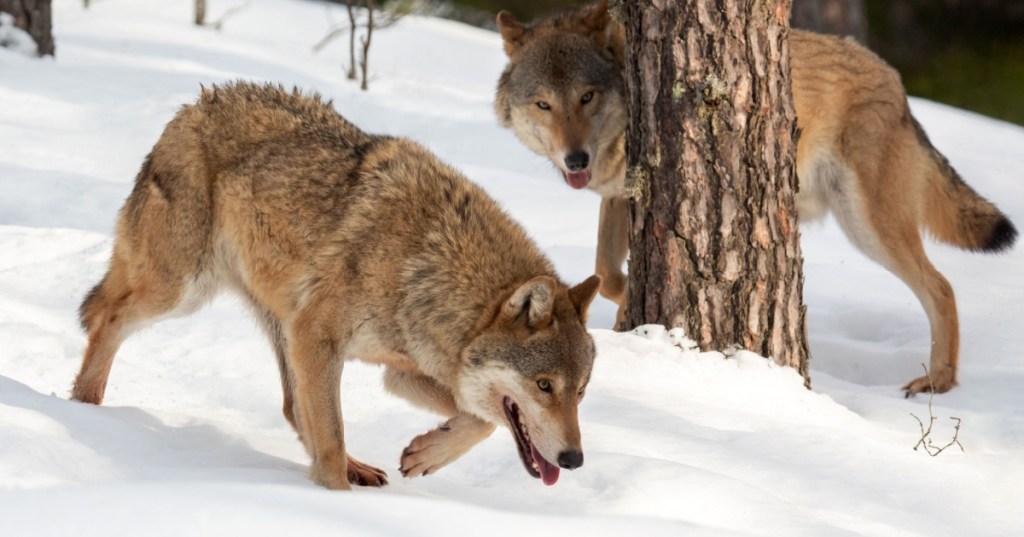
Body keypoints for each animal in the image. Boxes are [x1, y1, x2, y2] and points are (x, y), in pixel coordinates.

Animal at [71, 82, 601, 489]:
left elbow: (480, 420)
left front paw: (426, 455)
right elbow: (331, 437)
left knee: (291, 407)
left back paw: (358, 466)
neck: (427, 264)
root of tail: (196, 104)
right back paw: (84, 407)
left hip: (279, 325)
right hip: (183, 291)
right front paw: (335, 501)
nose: (575, 460)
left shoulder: (403, 369)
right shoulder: (320, 338)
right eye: (544, 386)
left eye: (579, 392)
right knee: (106, 316)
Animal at [493, 1, 1017, 395]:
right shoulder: (619, 197)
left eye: (586, 97)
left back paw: (939, 382)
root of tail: (896, 83)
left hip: (869, 227)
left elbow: (608, 276)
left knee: (941, 287)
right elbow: (604, 271)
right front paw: (621, 312)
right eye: (544, 104)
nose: (575, 159)